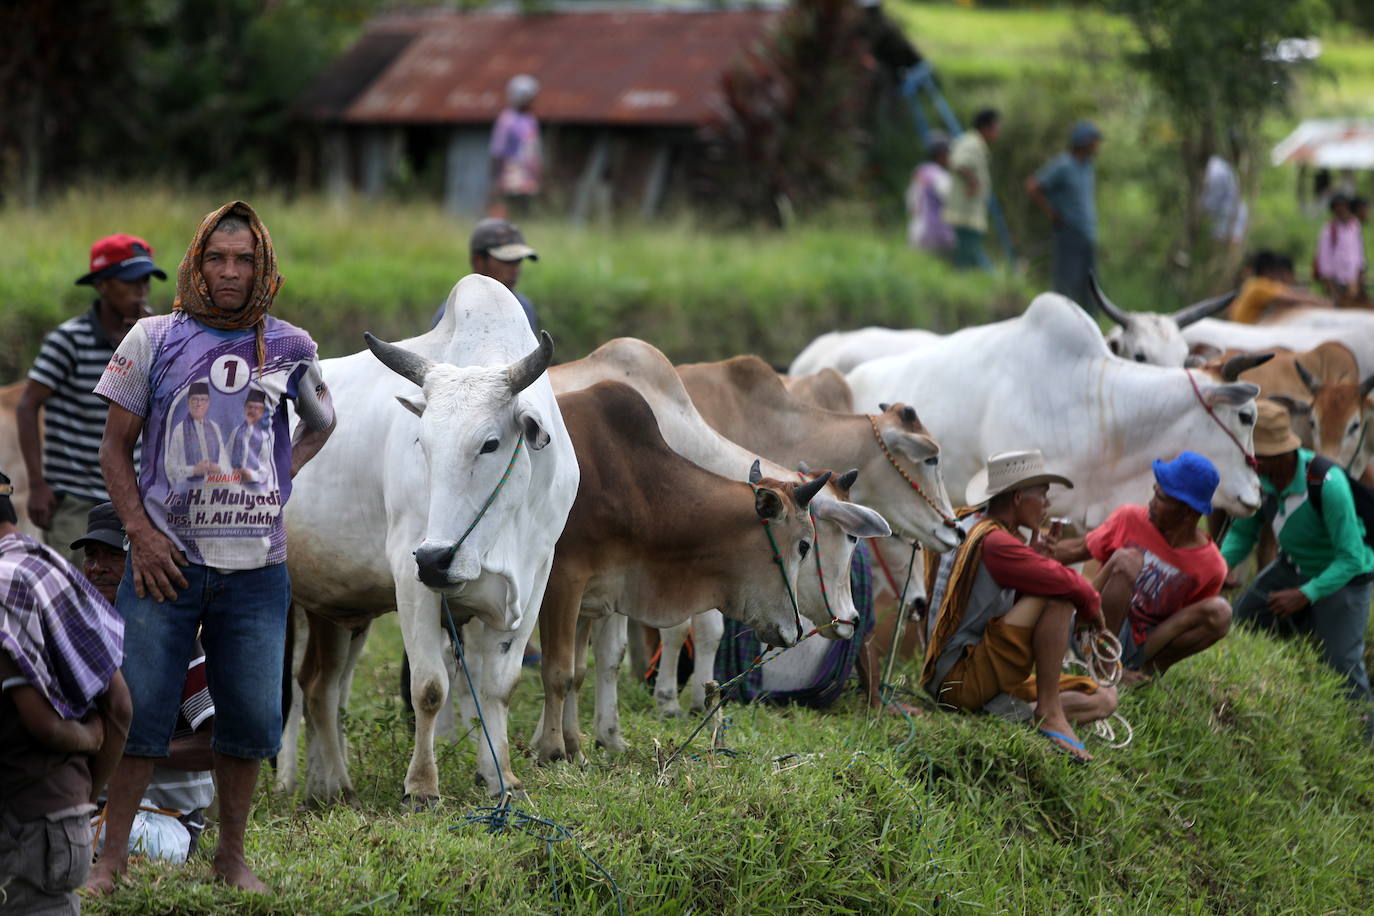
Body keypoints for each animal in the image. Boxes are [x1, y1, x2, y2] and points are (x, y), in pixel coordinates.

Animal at [281, 271, 577, 802]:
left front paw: (500, 777)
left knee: (320, 688)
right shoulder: (409, 574)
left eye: (490, 443)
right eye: (422, 441)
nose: (438, 558)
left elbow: (498, 686)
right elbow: (430, 688)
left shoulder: (534, 578)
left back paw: (331, 786)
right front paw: (421, 787)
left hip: (334, 608)